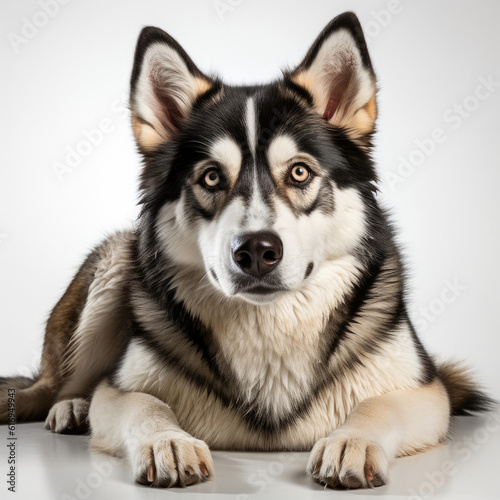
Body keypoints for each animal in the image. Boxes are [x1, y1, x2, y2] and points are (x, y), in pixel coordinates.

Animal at [0, 10, 492, 488]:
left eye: (299, 172)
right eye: (212, 176)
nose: (255, 251)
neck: (268, 327)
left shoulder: (425, 391)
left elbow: (377, 405)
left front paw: (351, 442)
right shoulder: (119, 388)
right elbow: (147, 404)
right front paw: (167, 442)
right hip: (117, 262)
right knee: (60, 384)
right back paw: (71, 406)